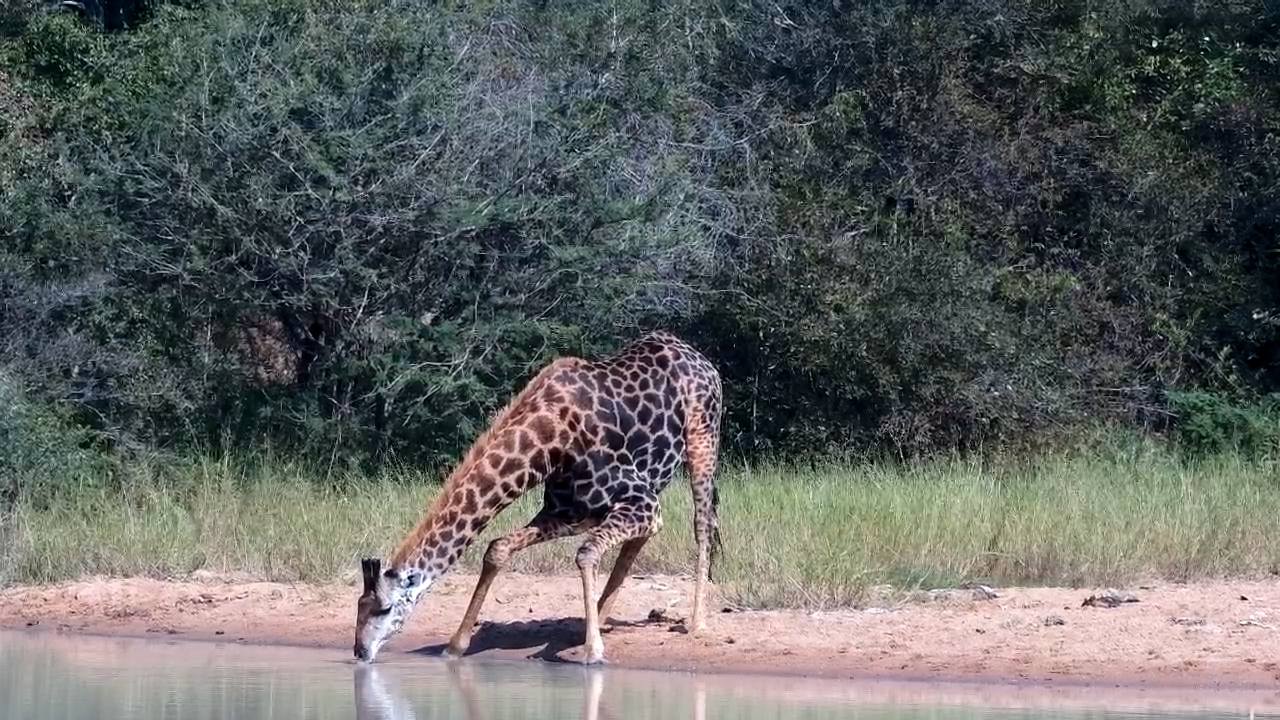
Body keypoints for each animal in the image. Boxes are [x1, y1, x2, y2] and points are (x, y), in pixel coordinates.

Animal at [353, 330, 723, 665]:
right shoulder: (569, 512)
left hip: (702, 440)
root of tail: (702, 360)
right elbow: (498, 548)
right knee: (638, 541)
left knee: (702, 524)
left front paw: (593, 651)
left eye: (385, 608)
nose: (359, 651)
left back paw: (696, 623)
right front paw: (455, 645)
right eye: (359, 605)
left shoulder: (641, 500)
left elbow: (586, 553)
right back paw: (597, 619)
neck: (550, 444)